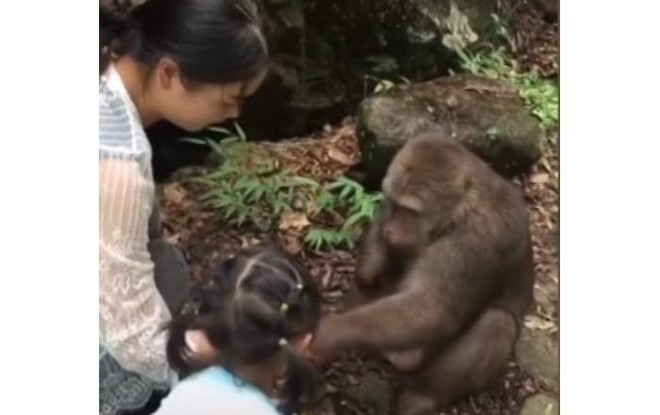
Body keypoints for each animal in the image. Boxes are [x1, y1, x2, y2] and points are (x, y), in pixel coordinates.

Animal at [310, 133, 536, 415]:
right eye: (393, 203)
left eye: (410, 210)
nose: (392, 230)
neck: (456, 215)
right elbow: (375, 253)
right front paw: (371, 264)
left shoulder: (475, 241)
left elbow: (434, 310)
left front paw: (330, 332)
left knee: (498, 322)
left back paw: (423, 396)